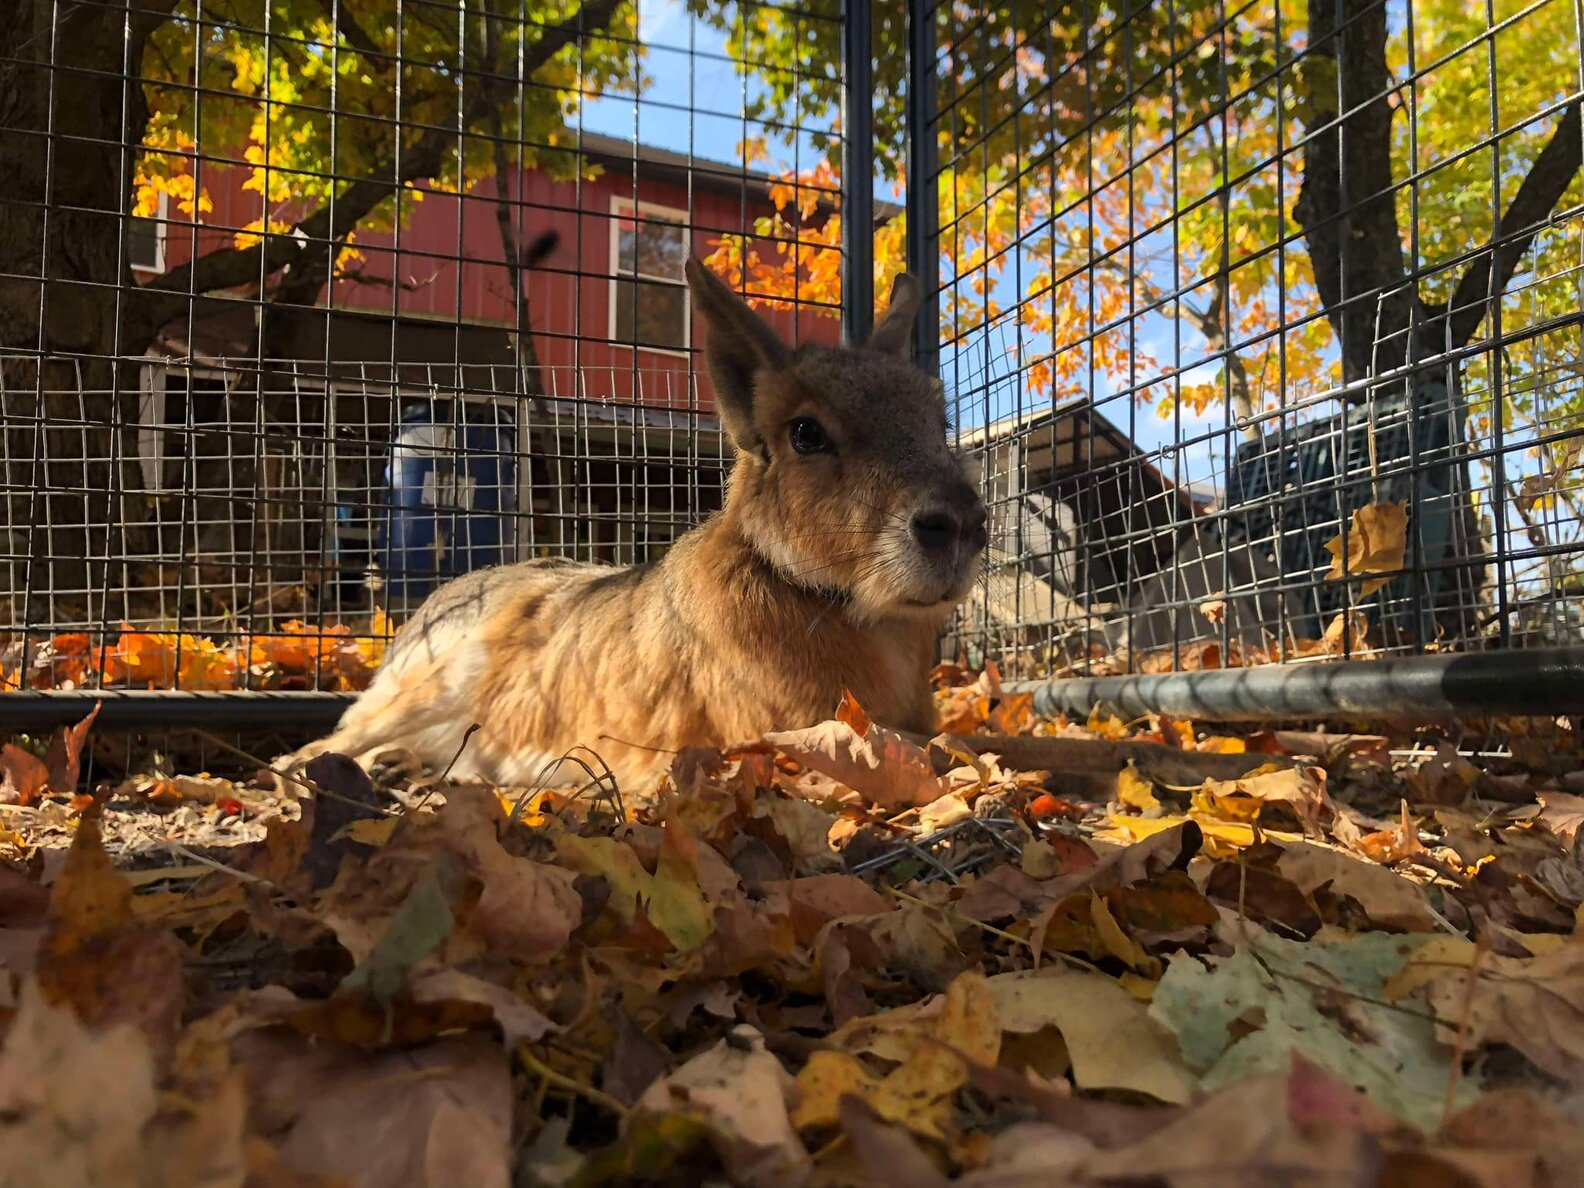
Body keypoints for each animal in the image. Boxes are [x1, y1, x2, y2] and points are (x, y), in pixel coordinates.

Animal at [304, 259, 988, 792]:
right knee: (318, 746)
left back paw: (402, 769)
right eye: (805, 434)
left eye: (937, 421)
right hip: (431, 684)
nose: (962, 525)